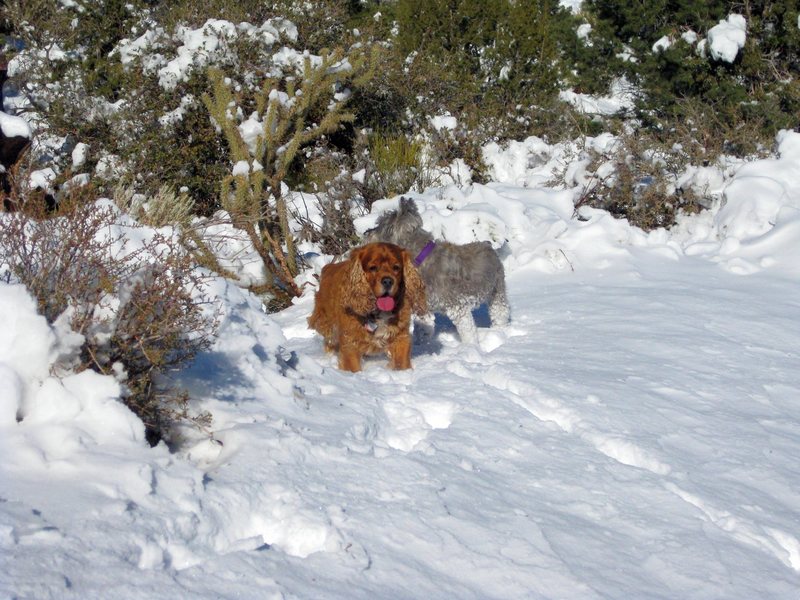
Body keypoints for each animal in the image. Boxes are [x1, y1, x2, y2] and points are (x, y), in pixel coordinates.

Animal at [310, 243, 428, 372]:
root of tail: (328, 266)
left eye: (396, 267)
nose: (388, 281)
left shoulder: (401, 338)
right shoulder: (350, 342)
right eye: (373, 268)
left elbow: (401, 363)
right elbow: (353, 367)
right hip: (326, 324)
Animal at [366, 197, 510, 342]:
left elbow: (468, 332)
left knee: (500, 314)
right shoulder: (424, 309)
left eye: (379, 224)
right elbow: (424, 330)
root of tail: (489, 245)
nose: (366, 233)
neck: (420, 259)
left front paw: (470, 345)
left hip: (497, 292)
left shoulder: (458, 308)